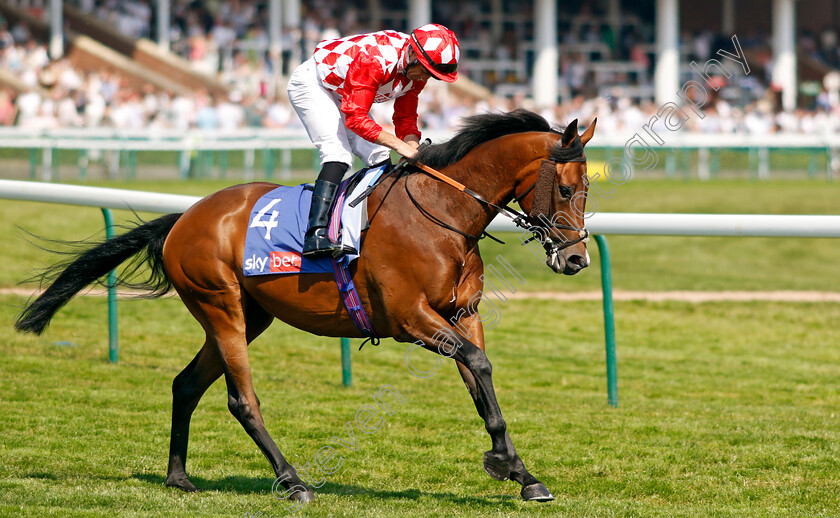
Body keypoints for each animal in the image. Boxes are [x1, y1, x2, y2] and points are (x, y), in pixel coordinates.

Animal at [11, 108, 592, 504]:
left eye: (589, 188)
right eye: (566, 190)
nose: (577, 258)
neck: (441, 215)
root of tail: (185, 217)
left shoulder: (461, 315)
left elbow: (480, 378)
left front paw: (520, 471)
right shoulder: (410, 318)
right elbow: (476, 363)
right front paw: (505, 462)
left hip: (249, 315)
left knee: (186, 384)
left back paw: (179, 477)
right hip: (221, 306)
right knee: (241, 399)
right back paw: (292, 480)